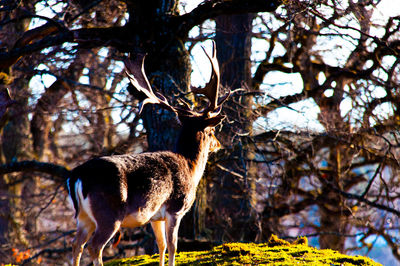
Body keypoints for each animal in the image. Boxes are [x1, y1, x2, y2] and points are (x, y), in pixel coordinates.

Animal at [65, 42, 228, 266]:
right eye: (211, 131)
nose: (218, 144)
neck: (190, 167)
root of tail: (77, 176)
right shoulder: (175, 208)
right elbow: (173, 245)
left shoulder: (155, 217)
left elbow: (161, 245)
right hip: (109, 212)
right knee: (94, 246)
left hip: (83, 216)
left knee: (76, 244)